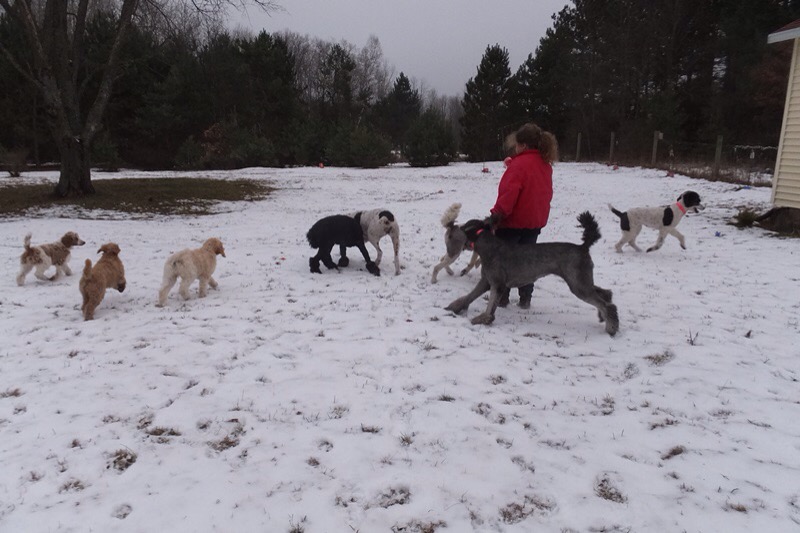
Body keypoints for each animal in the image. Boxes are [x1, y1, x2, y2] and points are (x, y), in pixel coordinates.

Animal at [445, 212, 619, 336]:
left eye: (464, 227)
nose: (453, 227)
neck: (489, 247)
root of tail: (583, 247)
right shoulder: (486, 281)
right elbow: (469, 296)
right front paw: (455, 307)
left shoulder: (497, 284)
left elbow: (490, 305)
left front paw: (483, 319)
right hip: (580, 281)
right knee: (605, 293)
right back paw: (603, 314)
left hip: (577, 284)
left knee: (606, 304)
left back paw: (611, 327)